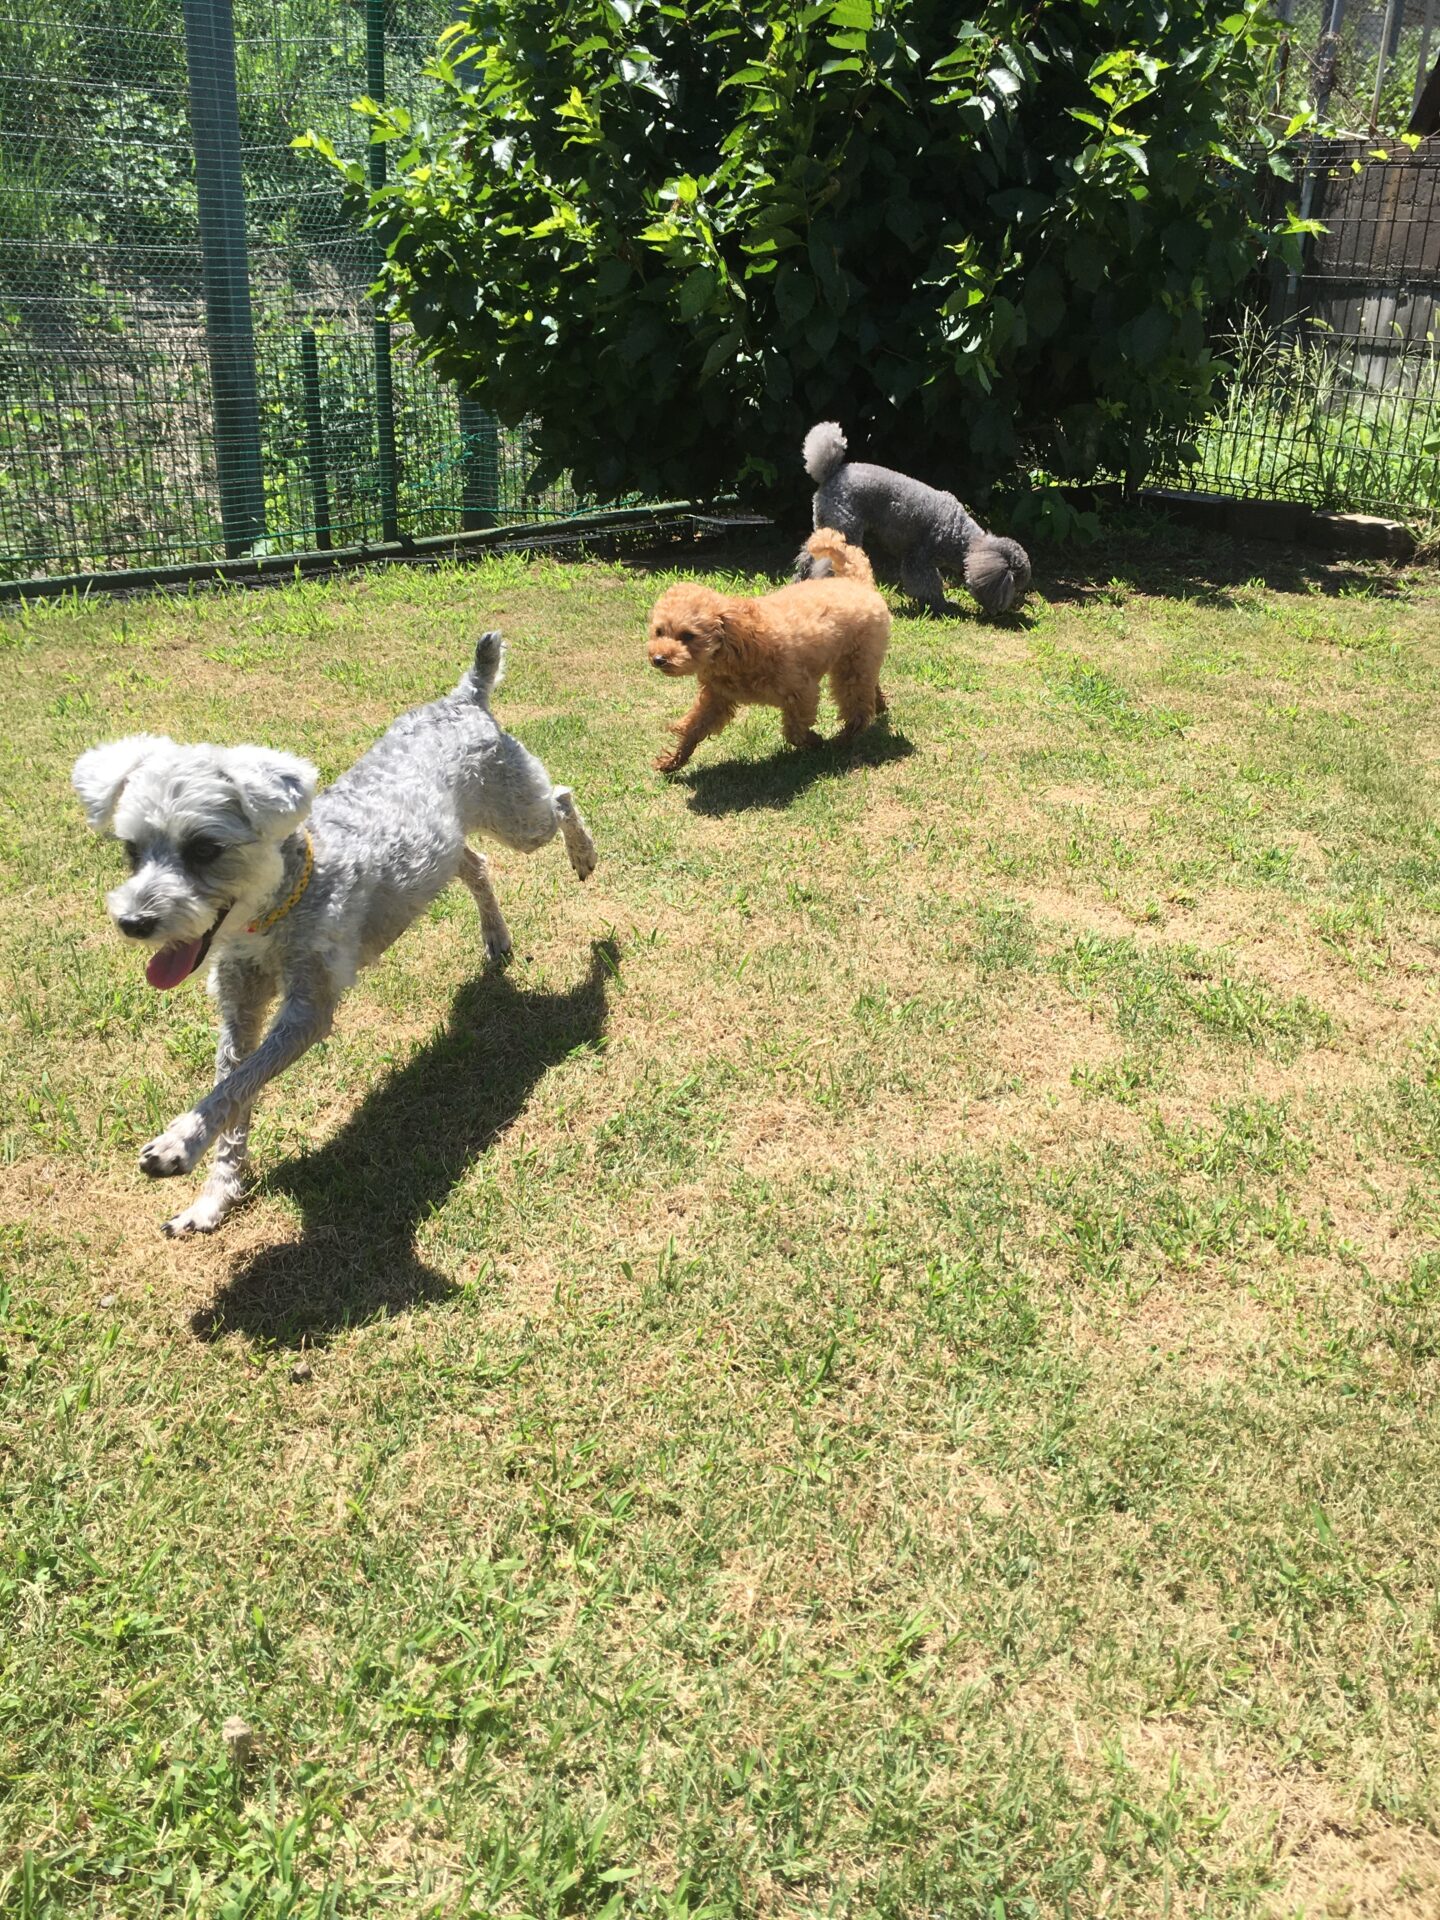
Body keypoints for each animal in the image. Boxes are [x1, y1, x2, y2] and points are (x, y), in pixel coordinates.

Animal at [71, 632, 597, 1237]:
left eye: (204, 848)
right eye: (131, 850)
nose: (134, 923)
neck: (275, 911)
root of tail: (465, 696)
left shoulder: (306, 1008)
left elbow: (240, 1081)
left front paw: (178, 1145)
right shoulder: (240, 1003)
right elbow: (235, 1087)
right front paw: (213, 1197)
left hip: (521, 819)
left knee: (561, 797)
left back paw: (585, 864)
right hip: (446, 848)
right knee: (478, 864)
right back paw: (496, 937)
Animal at [647, 529, 890, 773]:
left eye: (688, 636)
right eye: (659, 632)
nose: (658, 659)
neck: (737, 647)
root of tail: (856, 581)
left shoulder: (802, 690)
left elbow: (795, 731)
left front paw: (815, 741)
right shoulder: (717, 697)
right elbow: (695, 726)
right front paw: (672, 761)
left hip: (854, 661)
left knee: (857, 706)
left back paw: (844, 738)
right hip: (860, 658)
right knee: (868, 686)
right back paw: (879, 705)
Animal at [796, 421, 1031, 617]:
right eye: (1011, 586)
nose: (1001, 611)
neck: (960, 536)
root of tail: (831, 473)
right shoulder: (918, 560)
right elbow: (927, 585)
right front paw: (940, 607)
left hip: (826, 526)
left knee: (807, 559)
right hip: (846, 529)